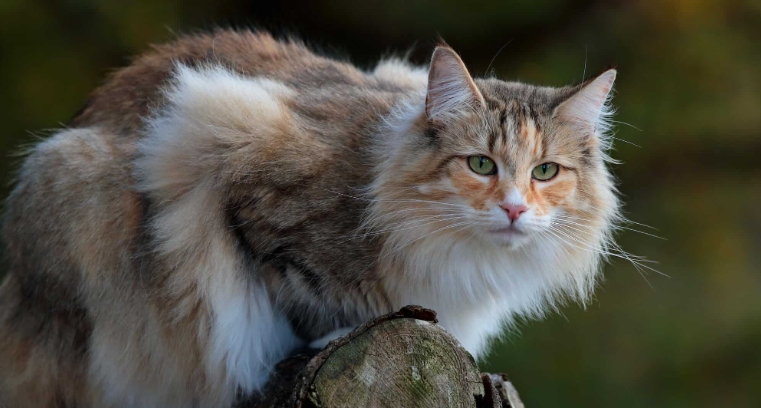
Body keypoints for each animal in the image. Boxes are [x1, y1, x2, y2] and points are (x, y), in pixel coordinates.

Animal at [0, 29, 616, 408]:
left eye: (545, 172)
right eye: (481, 164)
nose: (514, 208)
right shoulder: (229, 159)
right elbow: (296, 299)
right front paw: (338, 332)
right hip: (71, 176)